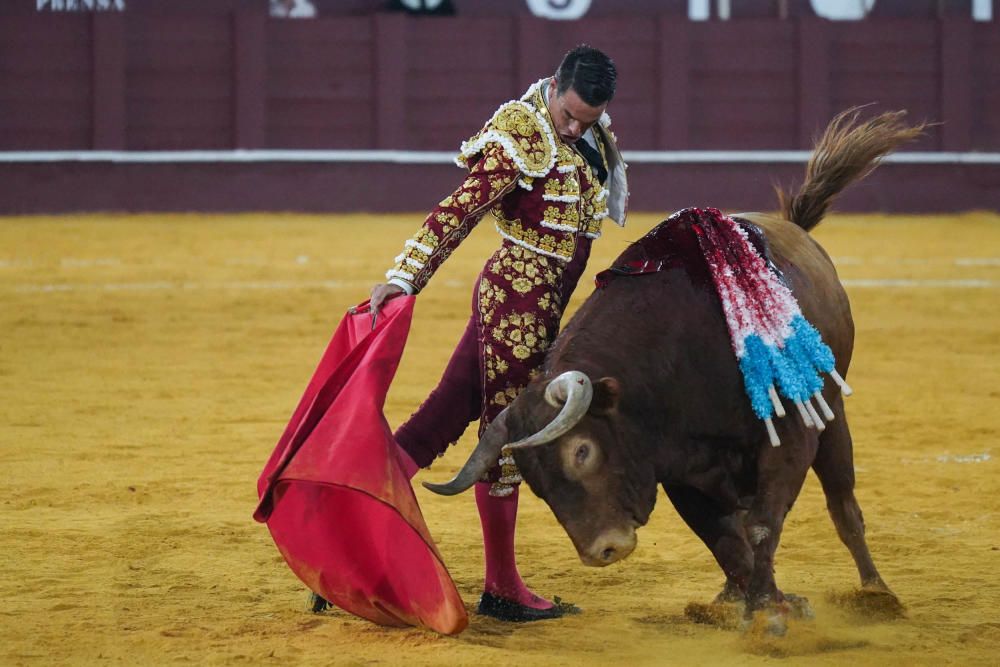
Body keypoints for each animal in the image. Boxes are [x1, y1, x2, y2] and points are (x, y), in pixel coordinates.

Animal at [422, 108, 920, 616]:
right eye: (535, 480)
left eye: (582, 451)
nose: (603, 550)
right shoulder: (676, 466)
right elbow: (723, 539)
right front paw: (760, 602)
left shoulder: (791, 436)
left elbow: (763, 524)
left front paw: (769, 609)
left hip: (832, 409)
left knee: (844, 505)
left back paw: (877, 592)